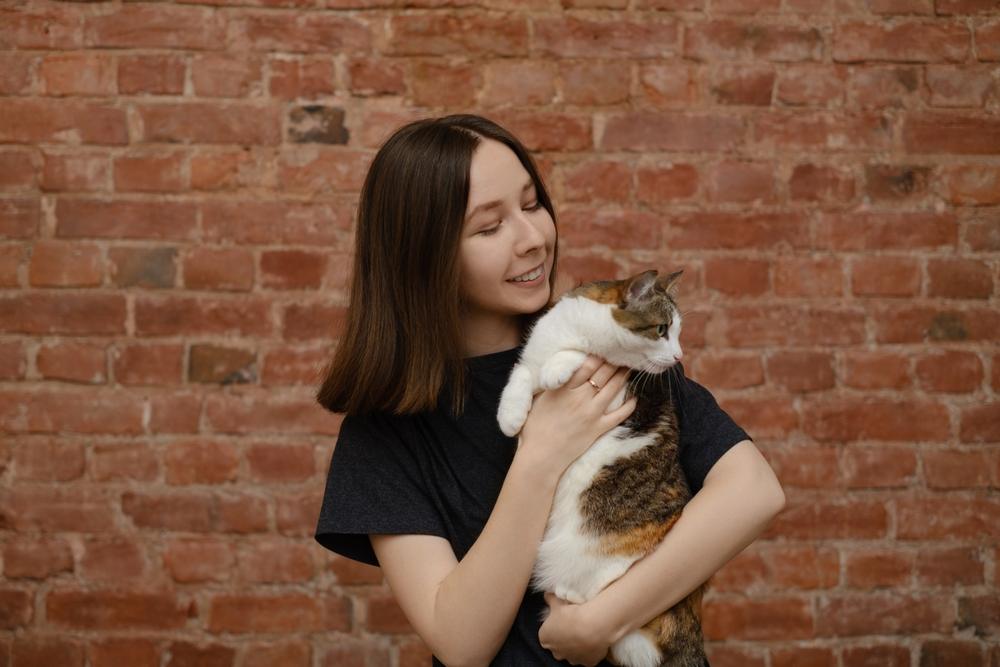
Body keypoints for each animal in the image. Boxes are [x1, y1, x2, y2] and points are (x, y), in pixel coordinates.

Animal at [496, 268, 708, 667]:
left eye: (678, 332)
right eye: (662, 329)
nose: (678, 356)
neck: (574, 330)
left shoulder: (619, 388)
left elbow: (578, 357)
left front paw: (557, 368)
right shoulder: (533, 354)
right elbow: (521, 373)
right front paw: (510, 415)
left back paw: (573, 594)